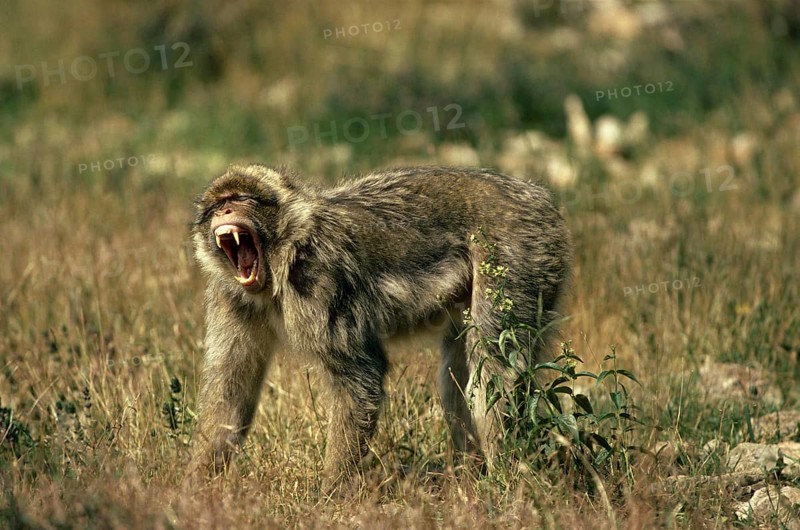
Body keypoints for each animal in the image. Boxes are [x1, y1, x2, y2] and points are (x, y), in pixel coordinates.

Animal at [190, 163, 572, 491]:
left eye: (242, 199)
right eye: (217, 205)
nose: (224, 212)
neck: (286, 255)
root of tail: (538, 198)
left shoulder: (319, 278)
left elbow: (360, 381)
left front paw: (331, 494)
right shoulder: (229, 297)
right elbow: (231, 388)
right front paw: (197, 488)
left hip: (519, 258)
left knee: (494, 369)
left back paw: (506, 482)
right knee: (457, 380)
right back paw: (471, 478)